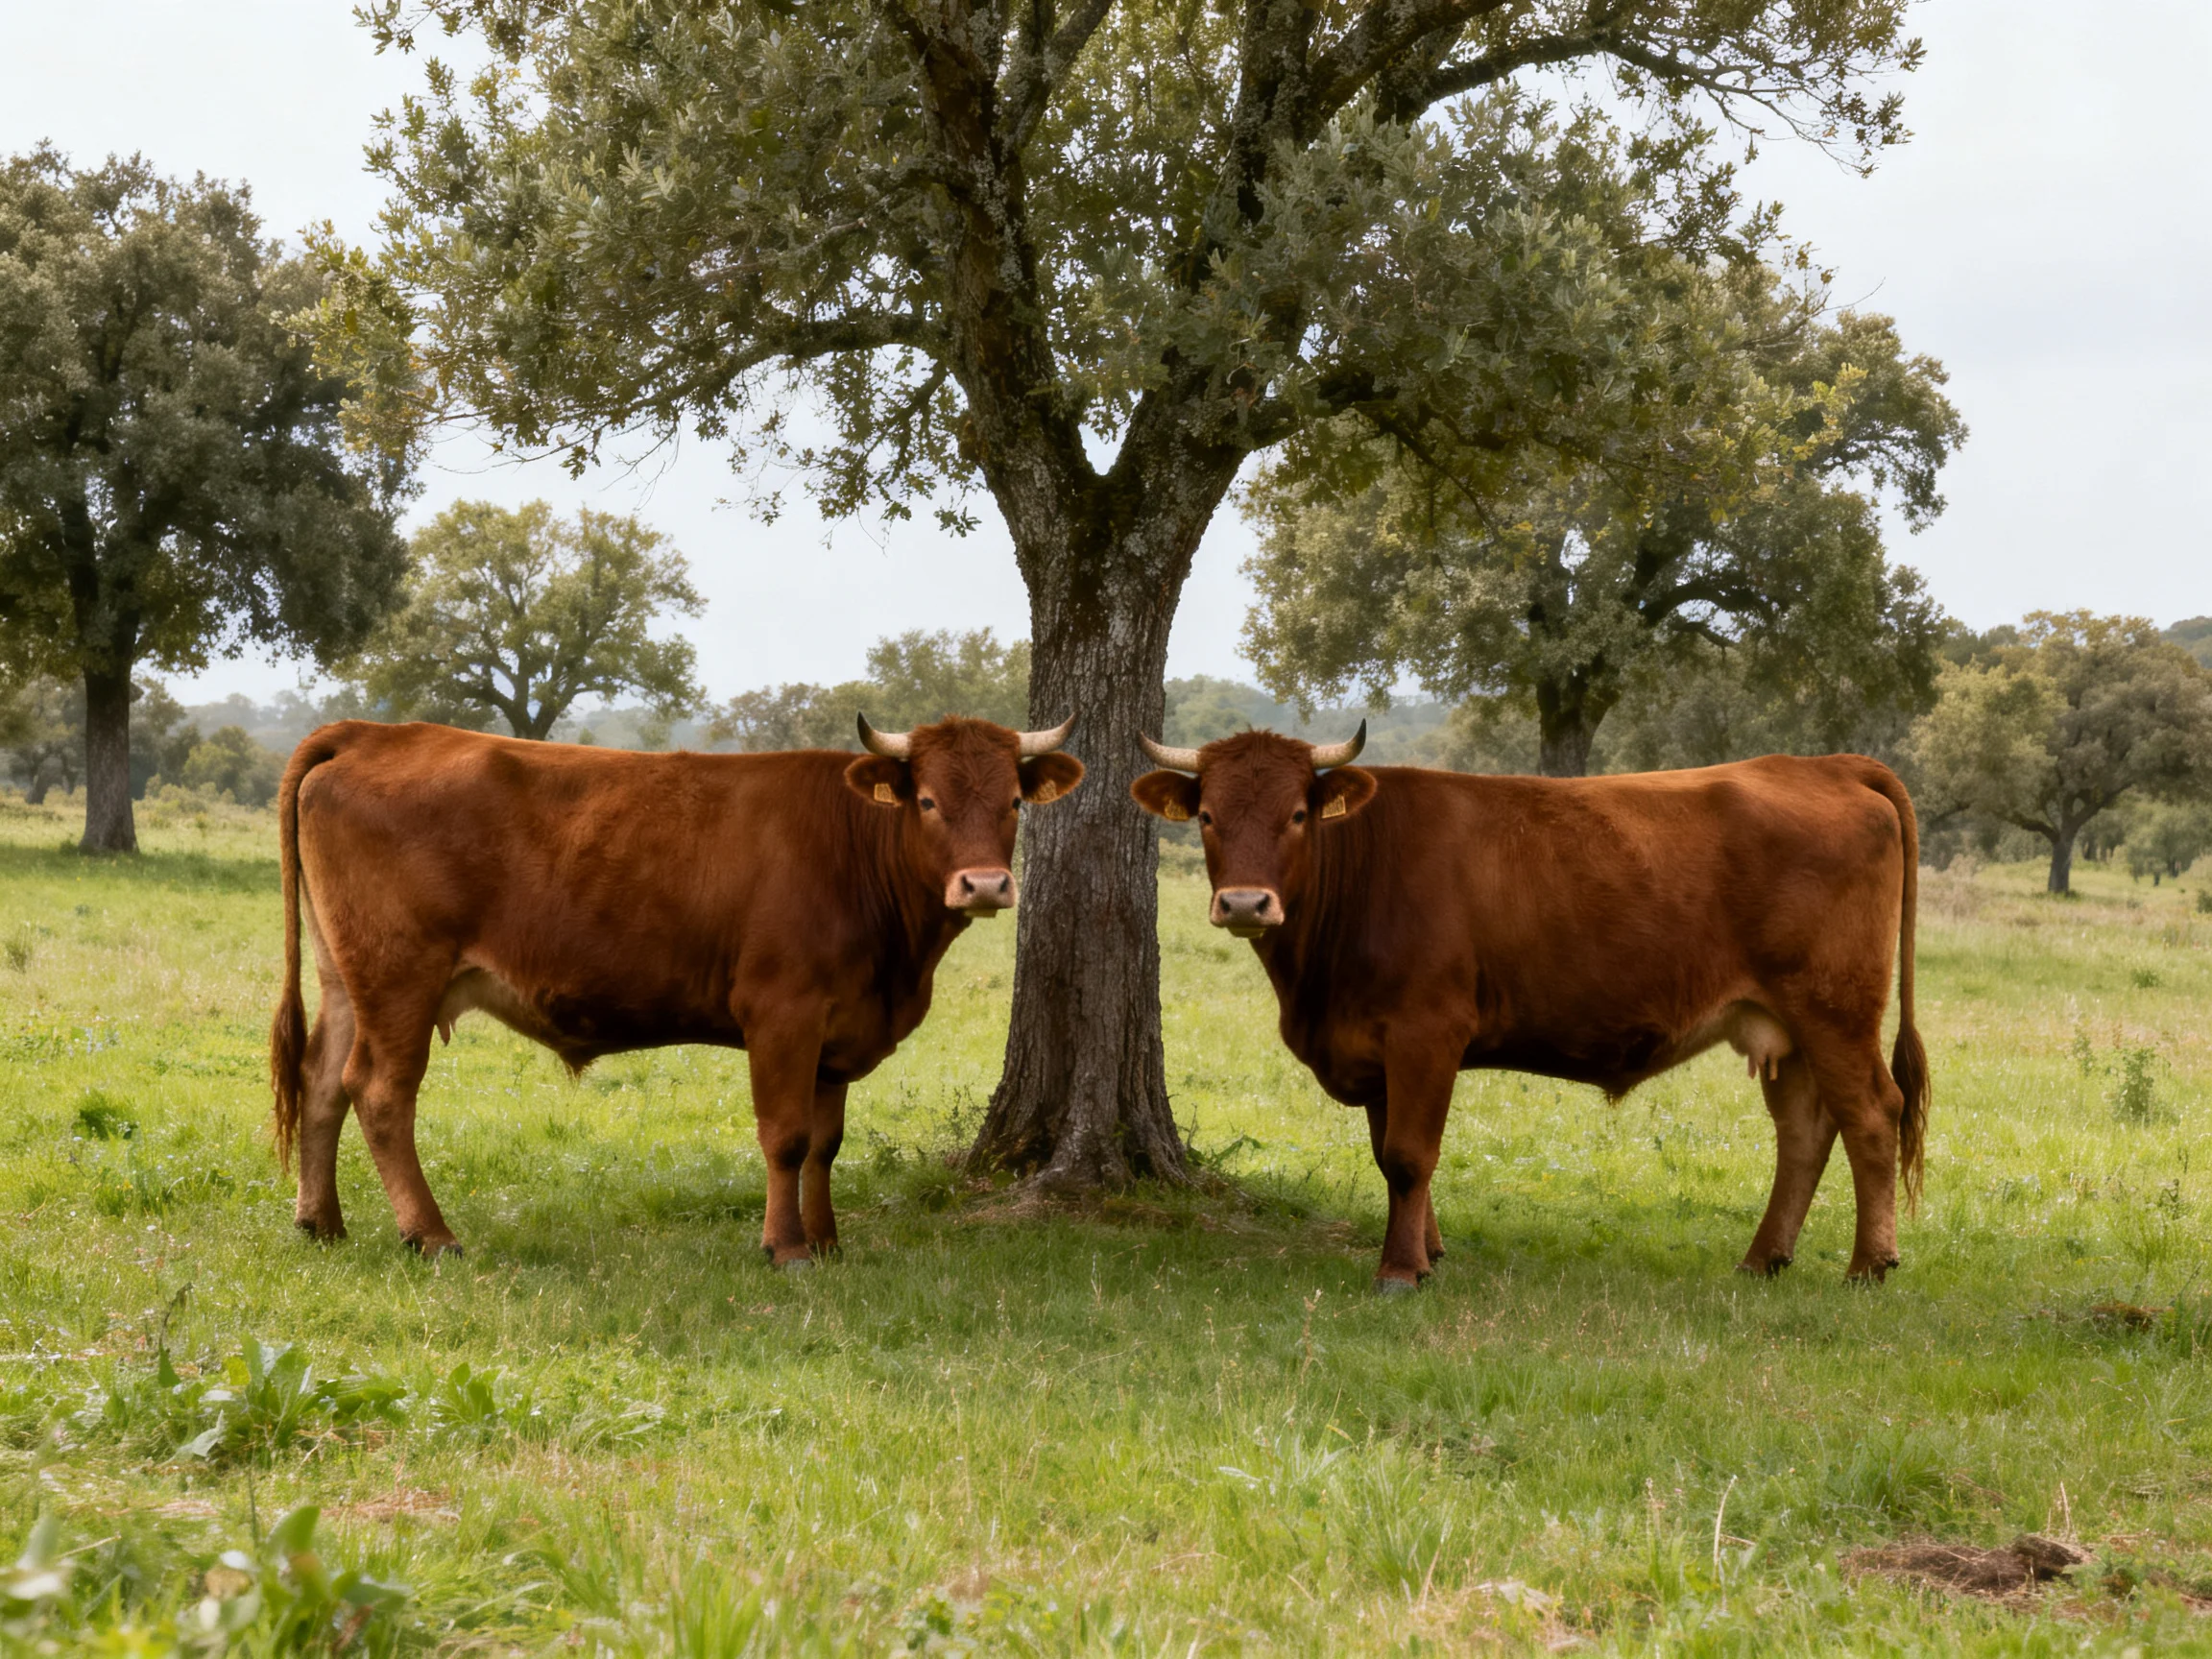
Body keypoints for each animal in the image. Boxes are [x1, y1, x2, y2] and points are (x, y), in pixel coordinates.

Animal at [269, 714, 1084, 1266]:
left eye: (1013, 803)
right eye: (928, 802)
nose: (985, 885)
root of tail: (377, 732)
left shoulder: (835, 1030)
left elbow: (826, 1144)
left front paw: (825, 1241)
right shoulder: (781, 1012)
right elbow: (786, 1138)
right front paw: (785, 1248)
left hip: (347, 977)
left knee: (321, 1081)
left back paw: (321, 1223)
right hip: (400, 975)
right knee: (380, 1093)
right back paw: (430, 1235)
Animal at [1130, 727, 1927, 1292]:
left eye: (1297, 814)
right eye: (1207, 815)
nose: (1245, 904)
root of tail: (1822, 764)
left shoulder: (1426, 1031)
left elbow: (1409, 1155)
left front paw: (1399, 1271)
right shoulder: (1376, 1045)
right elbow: (1391, 1157)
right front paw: (1427, 1252)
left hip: (1833, 1008)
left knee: (1872, 1114)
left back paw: (1868, 1265)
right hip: (1784, 1026)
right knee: (1804, 1131)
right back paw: (1765, 1258)